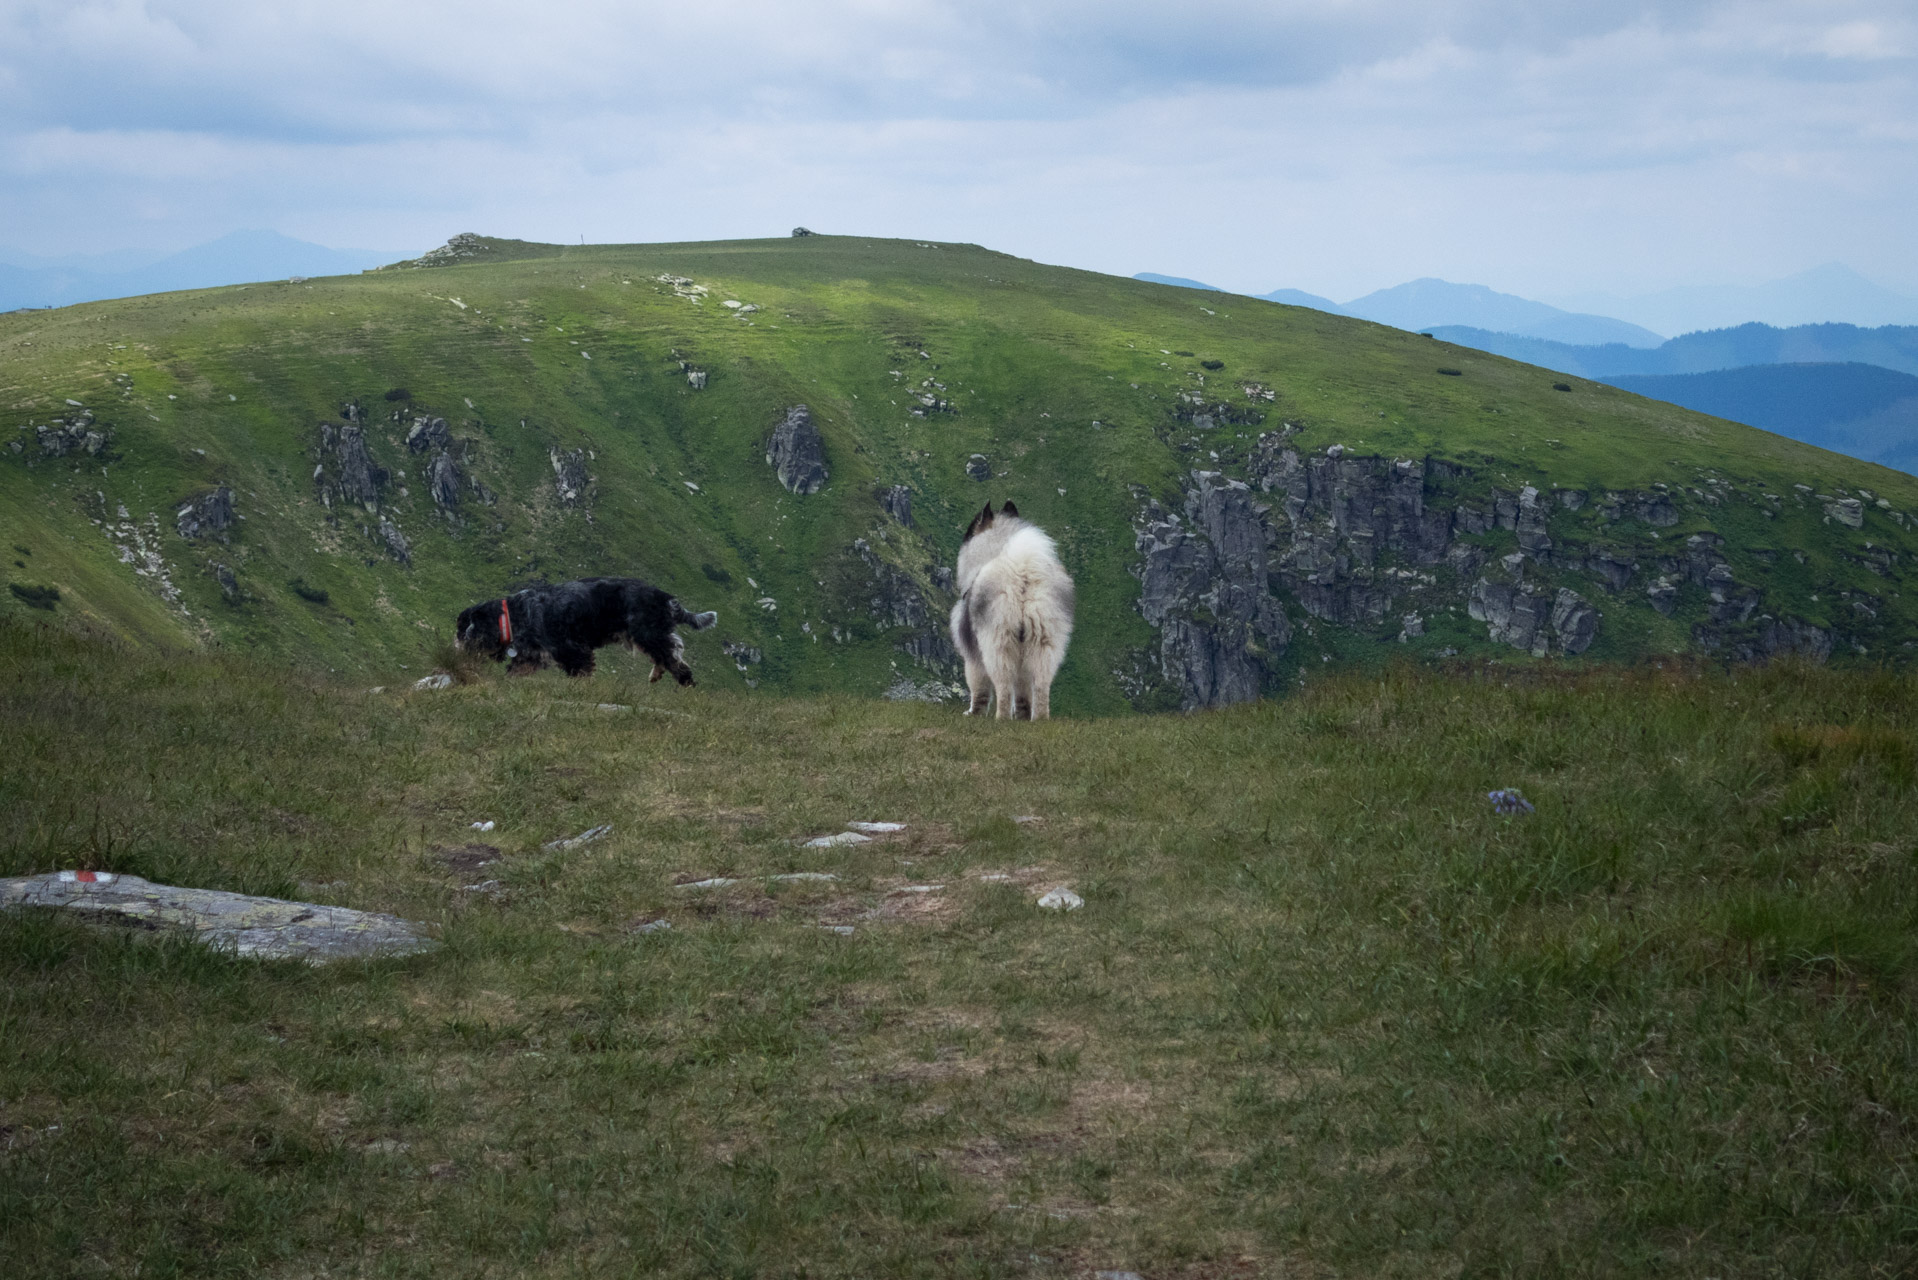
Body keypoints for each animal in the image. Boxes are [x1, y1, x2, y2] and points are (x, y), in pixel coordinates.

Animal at [456, 579, 721, 687]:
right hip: (647, 634)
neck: (513, 615)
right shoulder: (532, 656)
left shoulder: (572, 650)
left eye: (462, 632)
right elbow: (515, 671)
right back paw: (657, 675)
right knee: (670, 651)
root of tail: (665, 597)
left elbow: (581, 671)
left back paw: (687, 683)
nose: (456, 650)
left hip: (647, 632)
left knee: (673, 655)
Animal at [947, 502, 1074, 721]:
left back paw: (1001, 717)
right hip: (1045, 639)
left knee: (1003, 685)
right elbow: (1022, 692)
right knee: (1041, 685)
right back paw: (1040, 719)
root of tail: (1023, 573)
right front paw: (1022, 716)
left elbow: (978, 688)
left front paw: (973, 713)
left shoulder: (972, 653)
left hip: (997, 641)